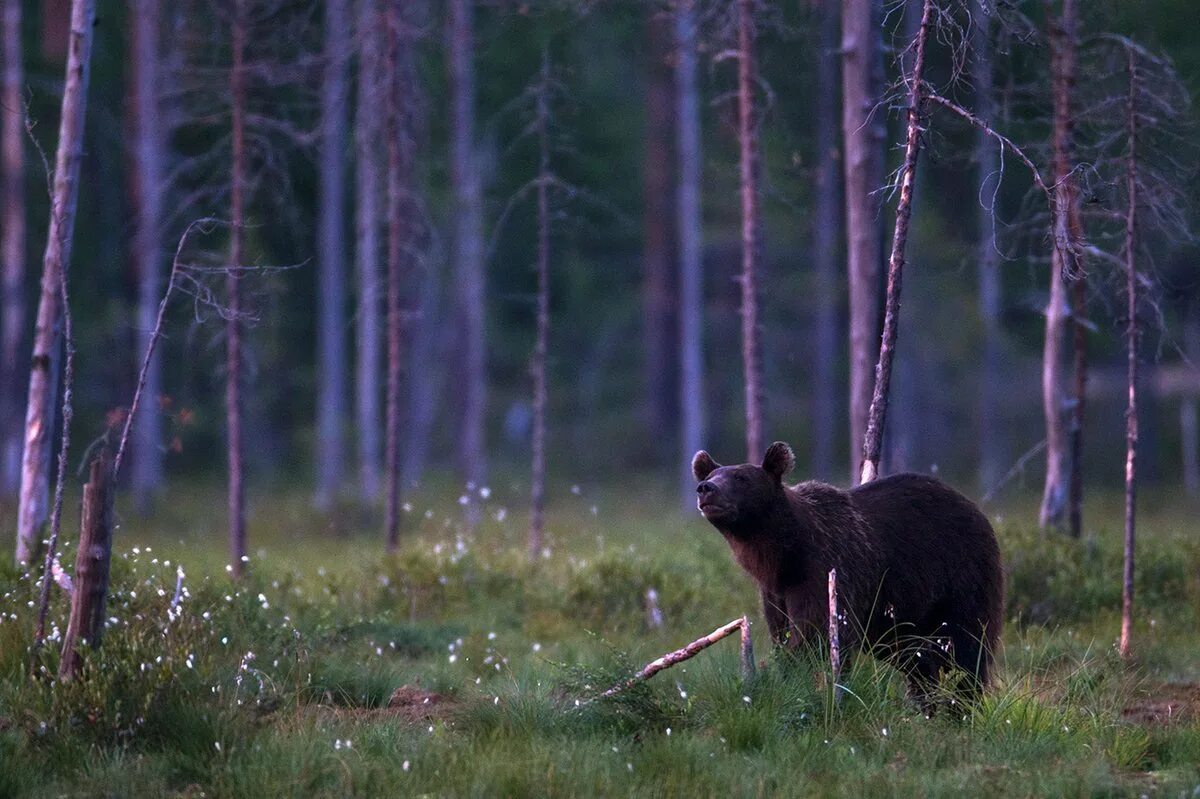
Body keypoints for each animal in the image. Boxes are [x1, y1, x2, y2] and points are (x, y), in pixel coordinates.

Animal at [696, 439, 1003, 700]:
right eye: (711, 474)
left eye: (740, 477)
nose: (706, 489)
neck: (784, 556)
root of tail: (977, 510)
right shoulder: (775, 593)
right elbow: (781, 635)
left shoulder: (826, 571)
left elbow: (816, 634)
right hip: (905, 617)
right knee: (916, 659)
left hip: (961, 576)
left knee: (966, 647)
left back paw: (961, 705)